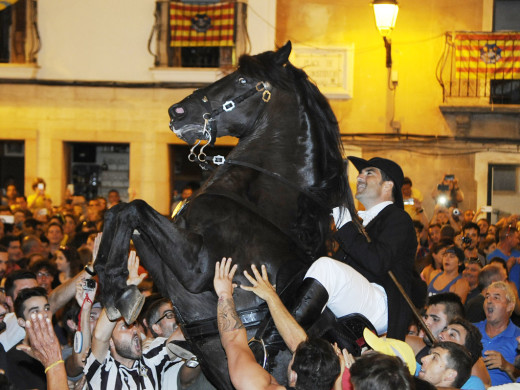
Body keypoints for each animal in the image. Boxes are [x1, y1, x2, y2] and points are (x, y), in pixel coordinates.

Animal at [93, 41, 362, 388]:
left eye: (244, 80)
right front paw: (113, 283)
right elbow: (120, 211)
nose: (177, 112)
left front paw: (117, 289)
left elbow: (135, 208)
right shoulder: (163, 262)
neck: (254, 201)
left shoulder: (197, 266)